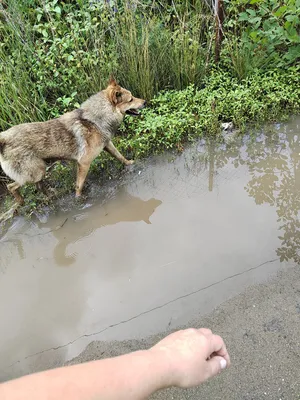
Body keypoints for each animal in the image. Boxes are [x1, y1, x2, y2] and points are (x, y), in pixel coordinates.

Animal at [0, 77, 146, 205]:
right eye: (131, 99)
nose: (145, 102)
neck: (95, 118)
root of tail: (4, 137)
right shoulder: (84, 163)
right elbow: (79, 186)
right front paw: (78, 200)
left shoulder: (107, 144)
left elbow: (119, 156)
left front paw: (129, 163)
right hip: (35, 173)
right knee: (11, 187)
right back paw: (21, 203)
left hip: (38, 171)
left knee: (38, 187)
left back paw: (49, 196)